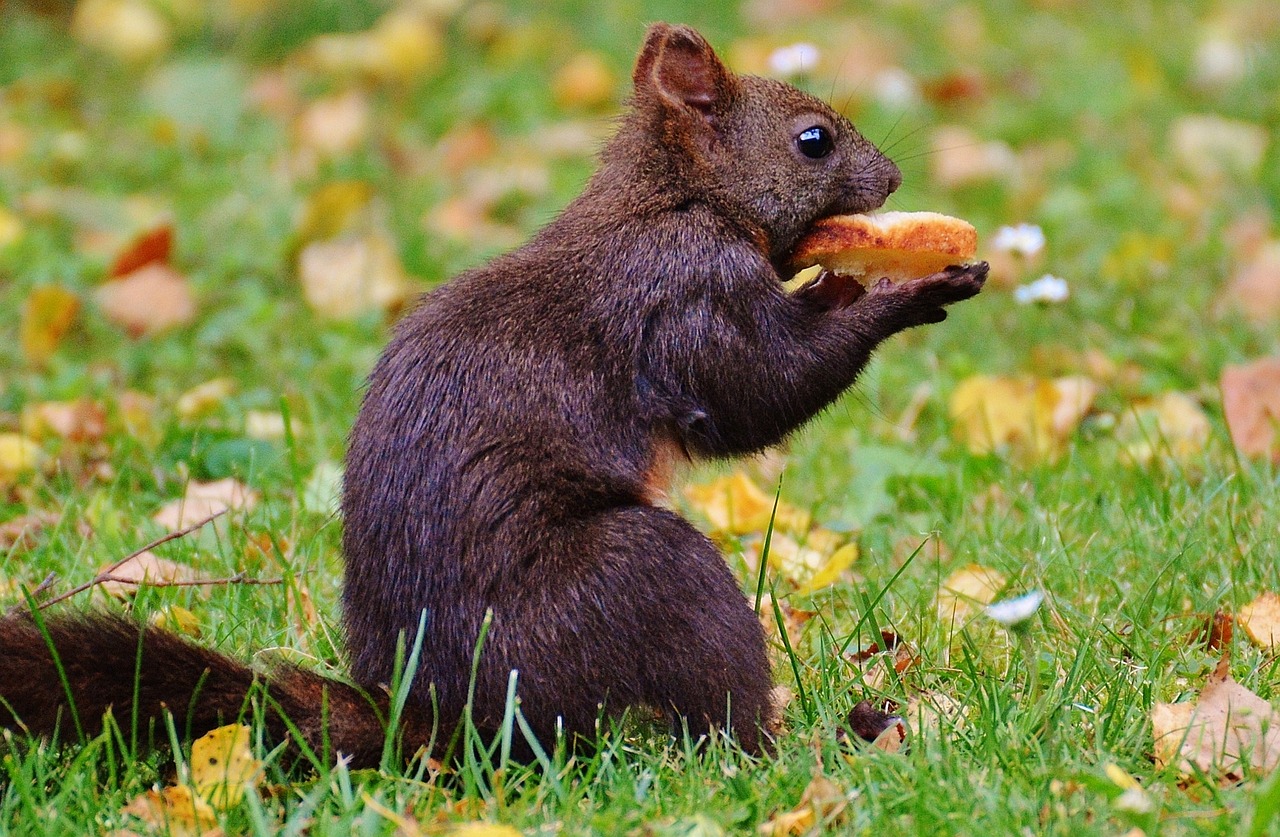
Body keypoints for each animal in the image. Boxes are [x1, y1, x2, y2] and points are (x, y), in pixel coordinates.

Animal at [0, 23, 988, 767]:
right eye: (812, 139)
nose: (895, 182)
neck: (671, 201)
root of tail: (453, 721)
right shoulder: (683, 297)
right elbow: (759, 392)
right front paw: (897, 293)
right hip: (646, 583)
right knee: (716, 716)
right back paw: (814, 747)